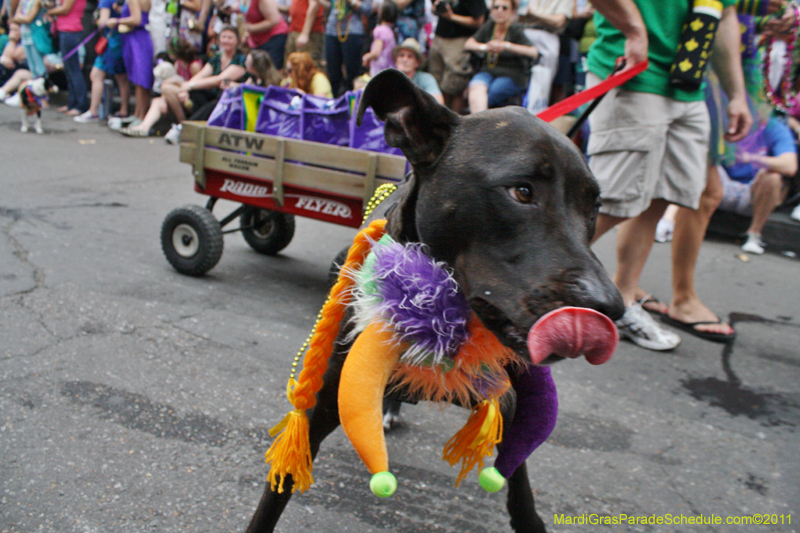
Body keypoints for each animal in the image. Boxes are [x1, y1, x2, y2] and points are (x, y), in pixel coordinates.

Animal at [244, 70, 624, 532]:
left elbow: (518, 481)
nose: (608, 307)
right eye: (521, 191)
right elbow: (277, 491)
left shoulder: (507, 399)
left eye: (594, 206)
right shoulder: (320, 409)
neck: (442, 318)